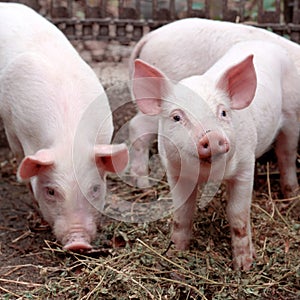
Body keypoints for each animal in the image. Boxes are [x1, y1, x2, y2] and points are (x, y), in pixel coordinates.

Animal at [132, 39, 300, 270]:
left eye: (223, 112)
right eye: (177, 117)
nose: (211, 136)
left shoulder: (245, 166)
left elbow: (238, 214)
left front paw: (244, 266)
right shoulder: (175, 172)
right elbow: (182, 212)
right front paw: (177, 251)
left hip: (292, 114)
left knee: (287, 155)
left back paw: (292, 196)